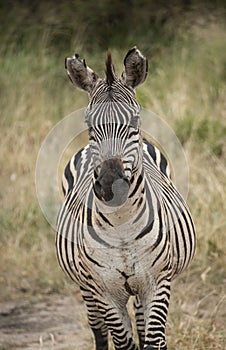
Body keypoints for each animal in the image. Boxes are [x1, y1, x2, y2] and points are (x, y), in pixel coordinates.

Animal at [55, 47, 195, 350]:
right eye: (89, 125)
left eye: (134, 122)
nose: (110, 185)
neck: (122, 227)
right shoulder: (104, 290)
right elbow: (122, 342)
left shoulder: (157, 282)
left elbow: (154, 341)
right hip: (87, 288)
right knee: (98, 330)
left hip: (139, 288)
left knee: (142, 327)